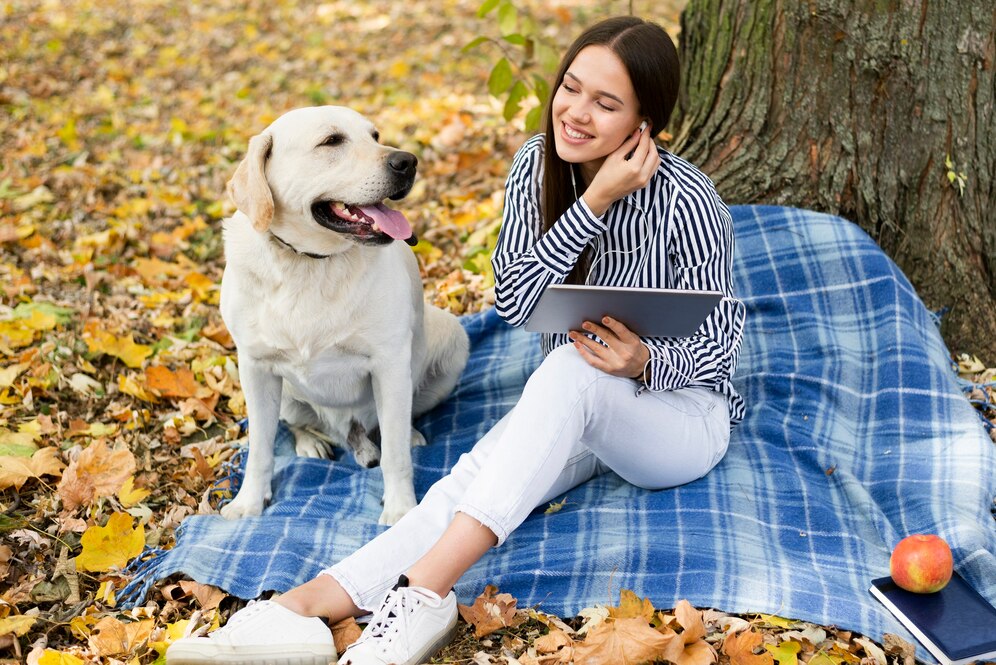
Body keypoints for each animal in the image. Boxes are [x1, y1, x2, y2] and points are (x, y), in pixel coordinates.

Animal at [218, 107, 466, 524]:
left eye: (375, 135)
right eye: (332, 141)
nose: (408, 161)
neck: (310, 263)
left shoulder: (389, 365)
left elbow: (395, 455)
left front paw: (401, 509)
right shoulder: (254, 366)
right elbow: (260, 449)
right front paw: (249, 501)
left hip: (450, 338)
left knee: (393, 428)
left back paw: (408, 435)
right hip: (279, 392)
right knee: (298, 424)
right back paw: (311, 442)